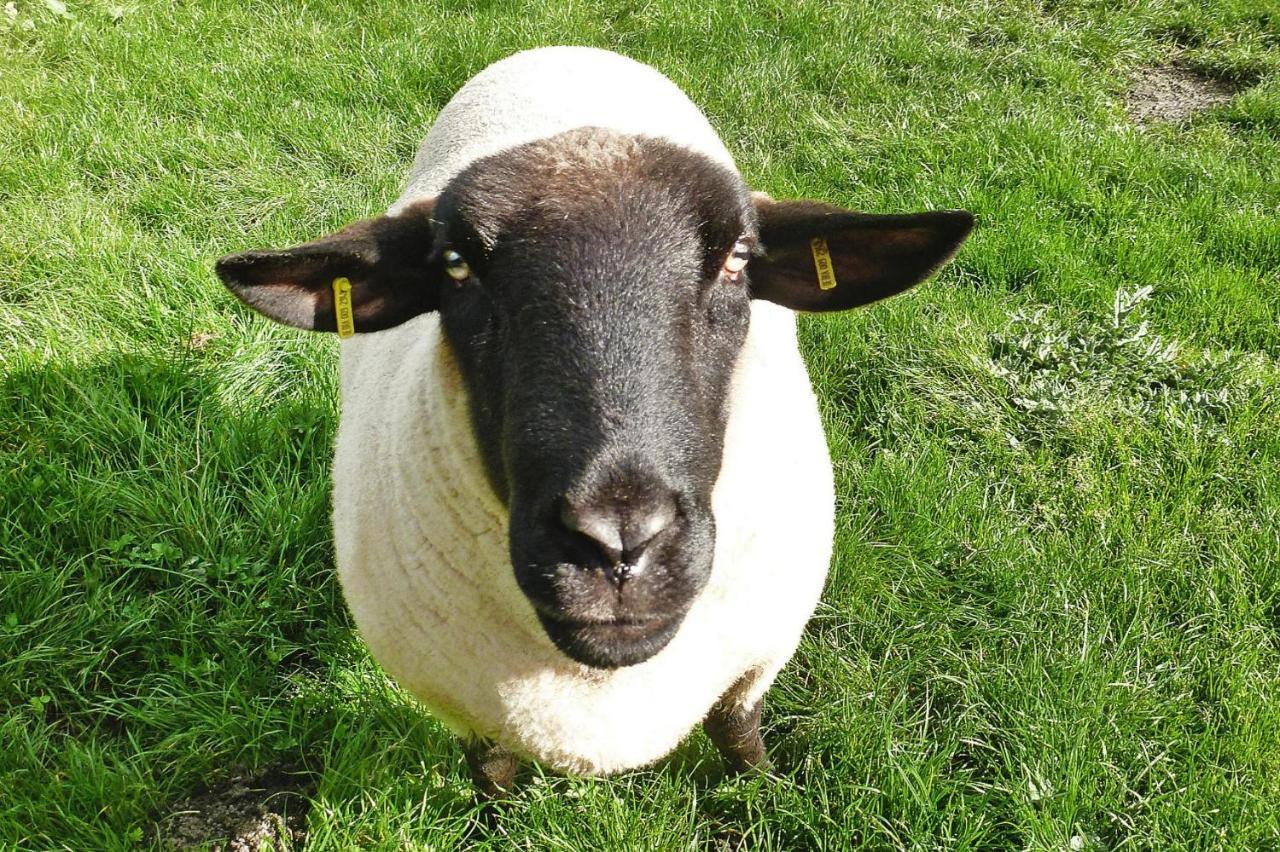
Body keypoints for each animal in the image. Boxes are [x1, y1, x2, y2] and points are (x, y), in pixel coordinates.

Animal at [215, 44, 972, 788]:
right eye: (456, 266)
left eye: (737, 260)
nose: (618, 542)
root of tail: (554, 48)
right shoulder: (460, 703)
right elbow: (491, 769)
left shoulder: (757, 657)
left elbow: (738, 732)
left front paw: (762, 796)